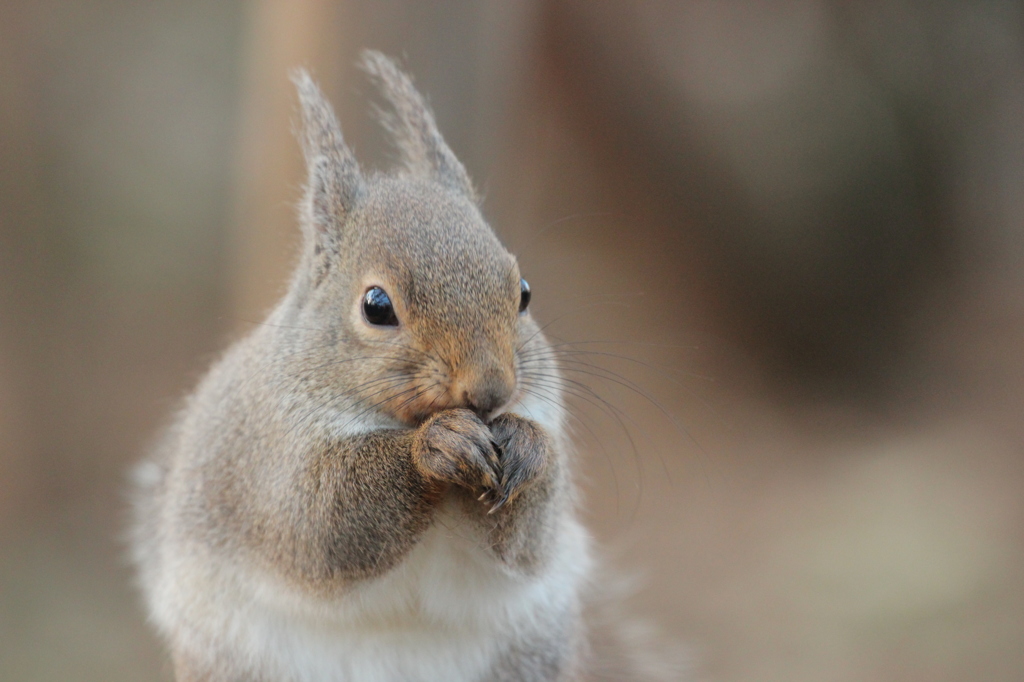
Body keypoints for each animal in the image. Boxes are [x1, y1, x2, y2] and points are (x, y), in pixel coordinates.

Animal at [132, 50, 684, 675]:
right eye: (376, 307)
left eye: (523, 292)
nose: (491, 390)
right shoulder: (270, 457)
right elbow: (322, 523)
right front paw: (436, 447)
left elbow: (530, 538)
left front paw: (525, 447)